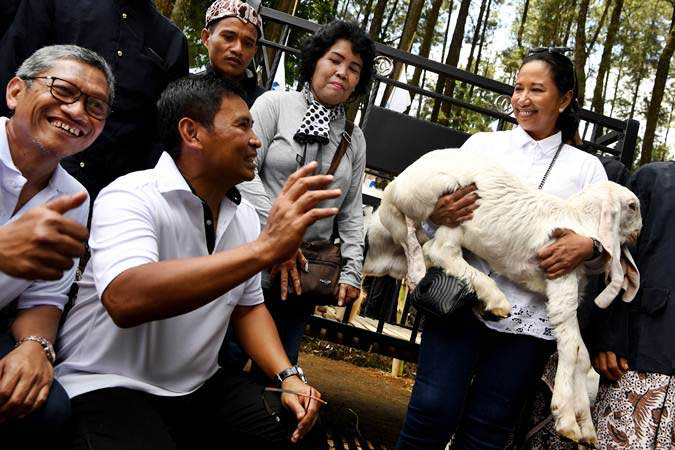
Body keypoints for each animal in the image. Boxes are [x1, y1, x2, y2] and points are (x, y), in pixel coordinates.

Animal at [368, 149, 640, 446]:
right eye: (633, 206)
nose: (639, 233)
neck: (578, 220)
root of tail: (398, 184)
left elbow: (583, 356)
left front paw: (587, 430)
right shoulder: (561, 281)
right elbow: (570, 349)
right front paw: (567, 421)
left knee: (433, 248)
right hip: (449, 200)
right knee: (438, 249)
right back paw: (492, 298)